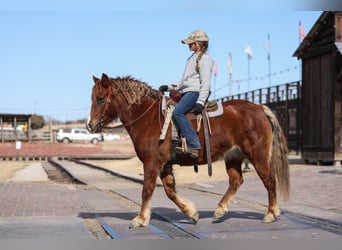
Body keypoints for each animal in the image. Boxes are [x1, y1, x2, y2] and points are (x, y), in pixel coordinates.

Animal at [87, 73, 288, 229]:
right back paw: (220, 209)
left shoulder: (152, 163)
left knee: (269, 180)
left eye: (101, 98)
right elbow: (170, 191)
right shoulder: (164, 165)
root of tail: (259, 108)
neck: (149, 118)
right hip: (233, 156)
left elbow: (147, 189)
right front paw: (191, 213)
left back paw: (271, 213)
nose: (90, 125)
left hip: (257, 156)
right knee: (236, 180)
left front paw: (141, 219)